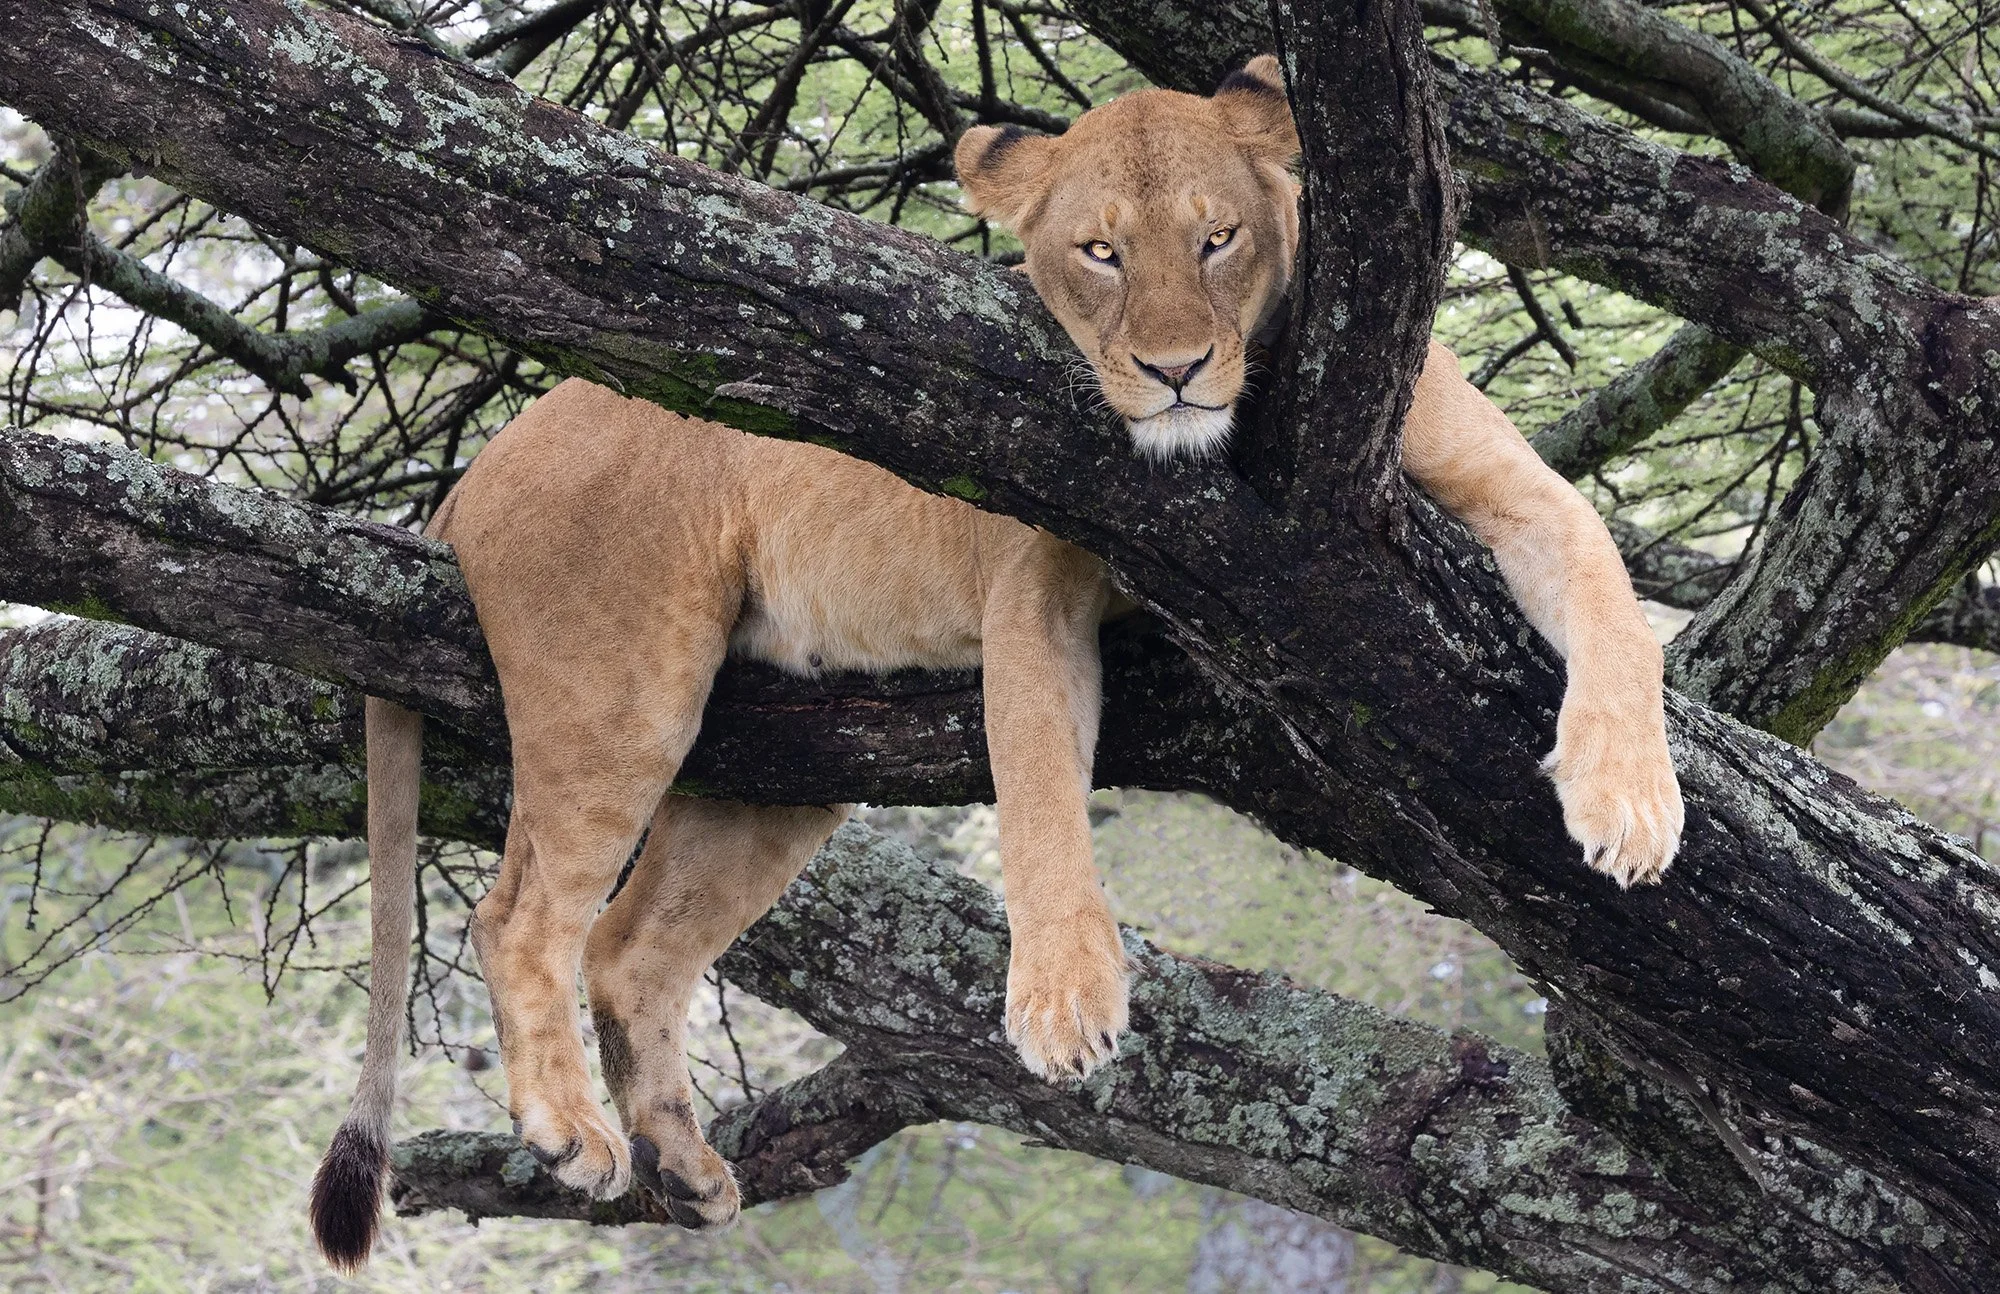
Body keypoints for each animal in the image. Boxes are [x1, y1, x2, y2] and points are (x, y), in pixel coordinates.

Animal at [310, 55, 1683, 1268]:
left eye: (1218, 238)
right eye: (1098, 254)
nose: (1173, 372)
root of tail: (482, 461)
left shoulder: (1502, 486)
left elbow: (1609, 589)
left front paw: (1627, 804)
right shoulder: (1034, 585)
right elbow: (1031, 783)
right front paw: (1064, 1001)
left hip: (766, 772)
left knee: (626, 946)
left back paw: (685, 1167)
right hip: (622, 694)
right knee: (518, 919)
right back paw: (573, 1132)